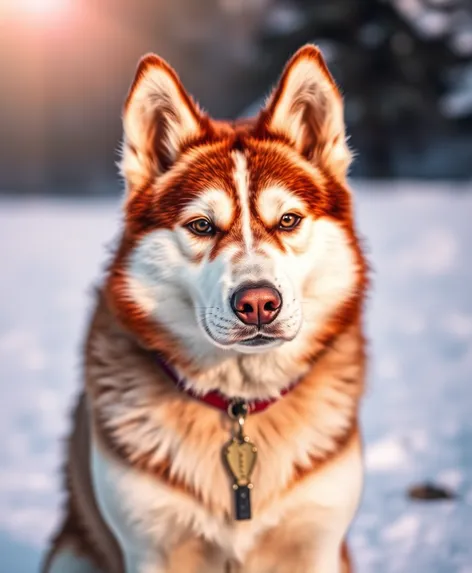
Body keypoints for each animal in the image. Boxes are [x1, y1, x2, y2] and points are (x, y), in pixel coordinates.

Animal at [42, 44, 368, 572]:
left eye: (288, 220)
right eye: (201, 226)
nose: (258, 303)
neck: (239, 402)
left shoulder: (318, 541)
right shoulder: (148, 545)